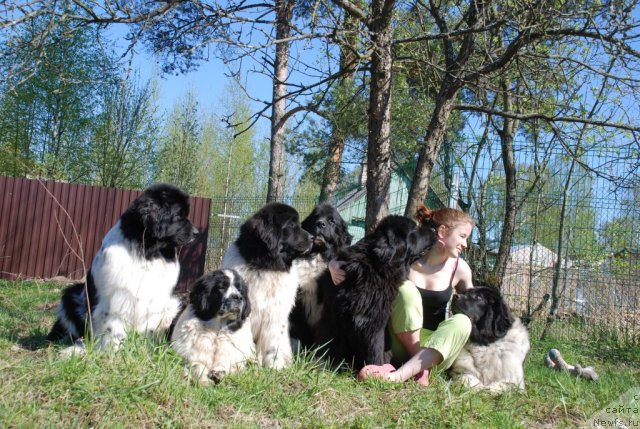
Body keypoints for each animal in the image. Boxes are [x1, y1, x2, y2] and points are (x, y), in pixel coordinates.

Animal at [47, 182, 199, 350]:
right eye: (179, 216)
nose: (197, 232)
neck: (147, 252)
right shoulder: (116, 297)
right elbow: (113, 327)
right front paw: (113, 351)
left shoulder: (155, 300)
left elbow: (150, 328)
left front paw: (146, 349)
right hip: (72, 296)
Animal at [221, 203, 314, 368]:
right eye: (292, 225)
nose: (313, 238)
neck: (266, 266)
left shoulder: (275, 315)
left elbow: (273, 345)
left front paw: (274, 367)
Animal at [312, 216, 438, 370]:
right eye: (415, 229)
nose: (434, 229)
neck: (373, 268)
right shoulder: (333, 317)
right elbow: (328, 345)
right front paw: (322, 365)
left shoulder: (375, 324)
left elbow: (375, 351)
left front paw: (374, 371)